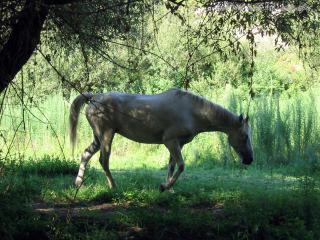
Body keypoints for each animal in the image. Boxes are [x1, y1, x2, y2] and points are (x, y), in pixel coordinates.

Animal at [69, 88, 252, 191]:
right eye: (244, 136)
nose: (249, 160)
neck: (191, 111)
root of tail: (94, 98)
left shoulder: (178, 144)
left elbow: (172, 166)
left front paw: (168, 188)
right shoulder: (170, 141)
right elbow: (181, 165)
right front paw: (165, 187)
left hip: (98, 138)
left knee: (85, 154)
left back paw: (78, 183)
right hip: (107, 136)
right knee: (104, 160)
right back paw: (113, 187)